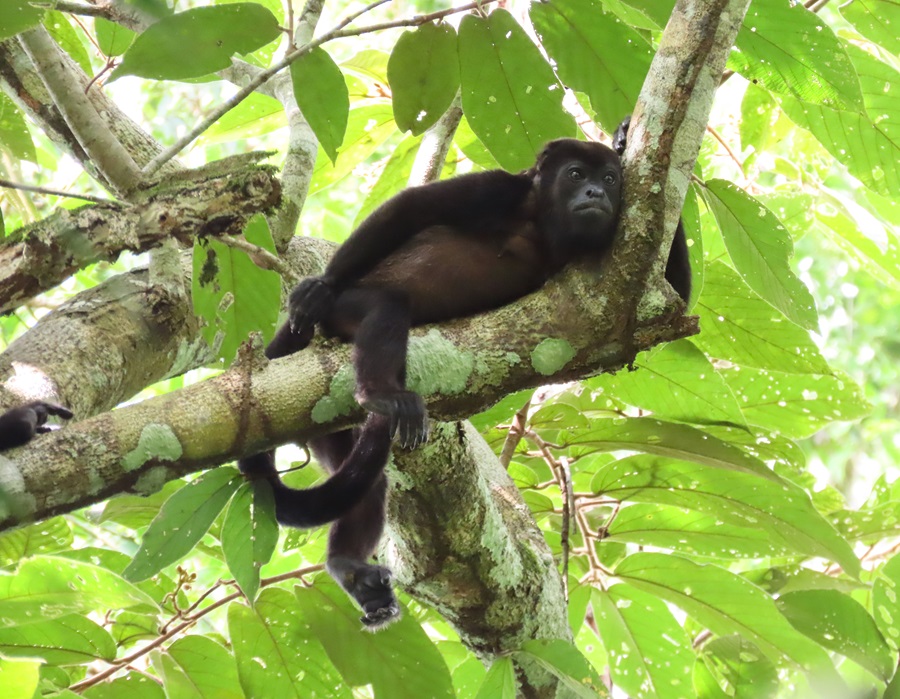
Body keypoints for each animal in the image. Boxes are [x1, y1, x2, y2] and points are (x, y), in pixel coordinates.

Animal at [237, 130, 688, 628]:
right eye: (575, 174)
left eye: (609, 179)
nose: (596, 193)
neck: (543, 222)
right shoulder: (499, 188)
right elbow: (410, 208)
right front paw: (320, 285)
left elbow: (669, 298)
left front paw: (626, 136)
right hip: (345, 315)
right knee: (386, 305)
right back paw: (377, 390)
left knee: (369, 480)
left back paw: (349, 568)